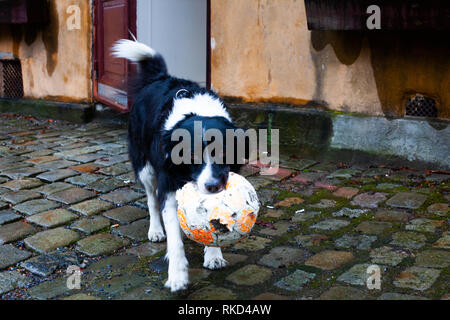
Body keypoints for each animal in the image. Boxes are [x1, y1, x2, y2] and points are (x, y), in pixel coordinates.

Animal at [114, 40, 244, 292]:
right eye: (191, 154)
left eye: (224, 152)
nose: (213, 186)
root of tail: (160, 78)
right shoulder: (168, 183)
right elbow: (173, 235)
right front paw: (177, 275)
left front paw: (213, 254)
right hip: (145, 167)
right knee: (151, 199)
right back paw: (155, 230)